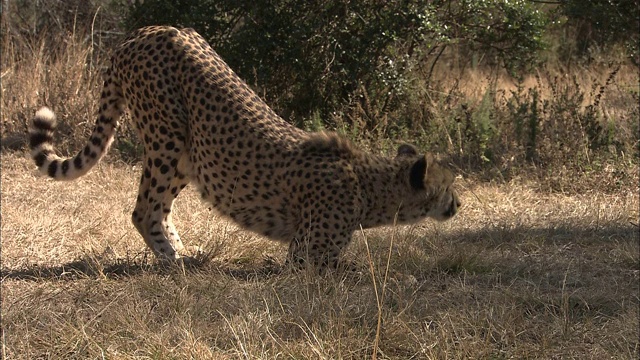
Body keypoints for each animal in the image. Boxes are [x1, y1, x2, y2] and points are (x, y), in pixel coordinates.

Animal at [30, 26, 460, 270]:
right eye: (449, 185)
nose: (458, 204)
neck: (370, 184)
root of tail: (145, 30)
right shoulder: (306, 256)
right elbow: (362, 270)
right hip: (165, 138)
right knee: (143, 209)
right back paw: (171, 260)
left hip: (188, 155)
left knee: (159, 206)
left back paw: (185, 252)